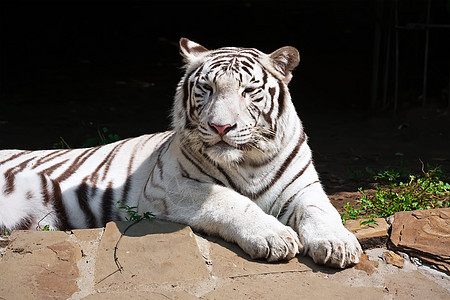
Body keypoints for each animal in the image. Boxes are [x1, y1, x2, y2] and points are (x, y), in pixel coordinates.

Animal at [0, 38, 360, 268]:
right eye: (207, 89)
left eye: (248, 91)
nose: (220, 127)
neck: (249, 161)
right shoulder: (168, 186)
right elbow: (232, 201)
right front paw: (275, 237)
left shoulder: (304, 188)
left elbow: (323, 213)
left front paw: (338, 244)